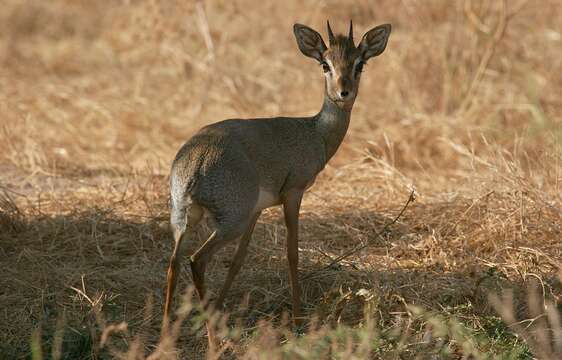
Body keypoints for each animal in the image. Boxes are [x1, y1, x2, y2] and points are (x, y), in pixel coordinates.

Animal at [163, 19, 390, 346]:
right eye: (325, 64)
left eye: (360, 63)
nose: (344, 92)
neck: (314, 133)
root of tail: (196, 164)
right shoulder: (293, 194)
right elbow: (292, 253)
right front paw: (296, 321)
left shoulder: (258, 209)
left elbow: (239, 259)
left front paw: (220, 311)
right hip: (230, 221)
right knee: (196, 260)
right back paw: (211, 341)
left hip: (183, 219)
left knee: (174, 261)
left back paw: (165, 335)